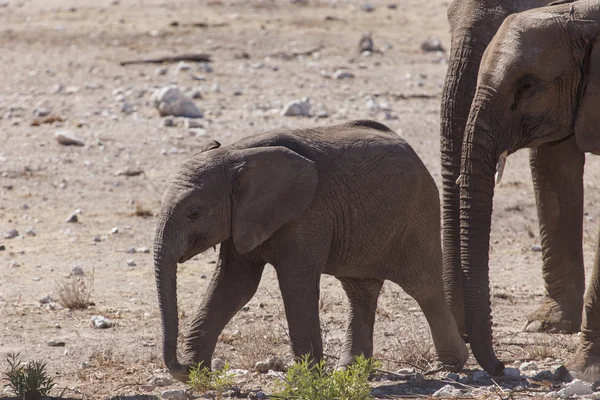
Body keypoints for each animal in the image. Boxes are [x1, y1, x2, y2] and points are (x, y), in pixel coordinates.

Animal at [155, 119, 468, 382]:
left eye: (194, 214)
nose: (180, 366)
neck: (236, 154)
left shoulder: (307, 214)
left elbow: (295, 283)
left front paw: (307, 380)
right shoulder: (243, 219)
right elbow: (234, 286)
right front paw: (195, 374)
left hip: (417, 213)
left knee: (422, 286)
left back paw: (450, 366)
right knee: (359, 291)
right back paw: (350, 373)